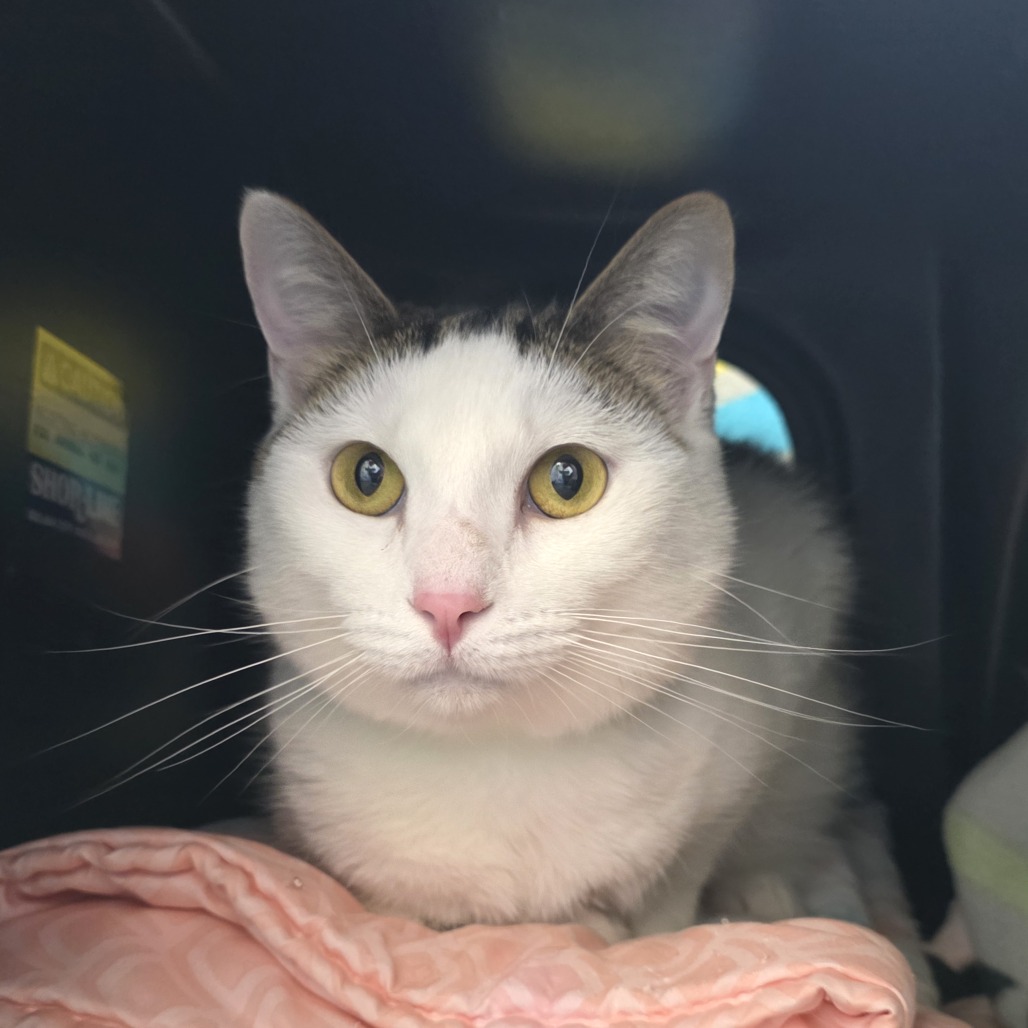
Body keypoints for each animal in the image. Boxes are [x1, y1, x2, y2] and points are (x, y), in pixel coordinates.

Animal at [238, 189, 931, 984]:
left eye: (567, 479)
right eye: (365, 476)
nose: (447, 603)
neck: (496, 764)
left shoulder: (748, 724)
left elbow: (677, 885)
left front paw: (649, 923)